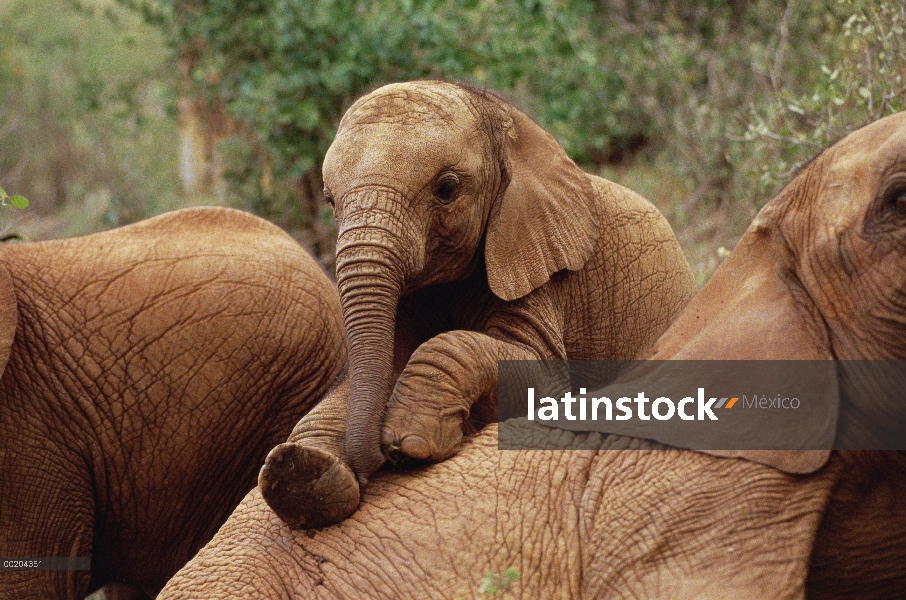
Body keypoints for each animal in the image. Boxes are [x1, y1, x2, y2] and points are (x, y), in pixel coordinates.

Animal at [159, 113, 904, 600]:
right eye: (329, 199)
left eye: (447, 188)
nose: (375, 462)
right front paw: (305, 474)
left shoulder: (541, 257)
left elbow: (527, 368)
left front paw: (411, 440)